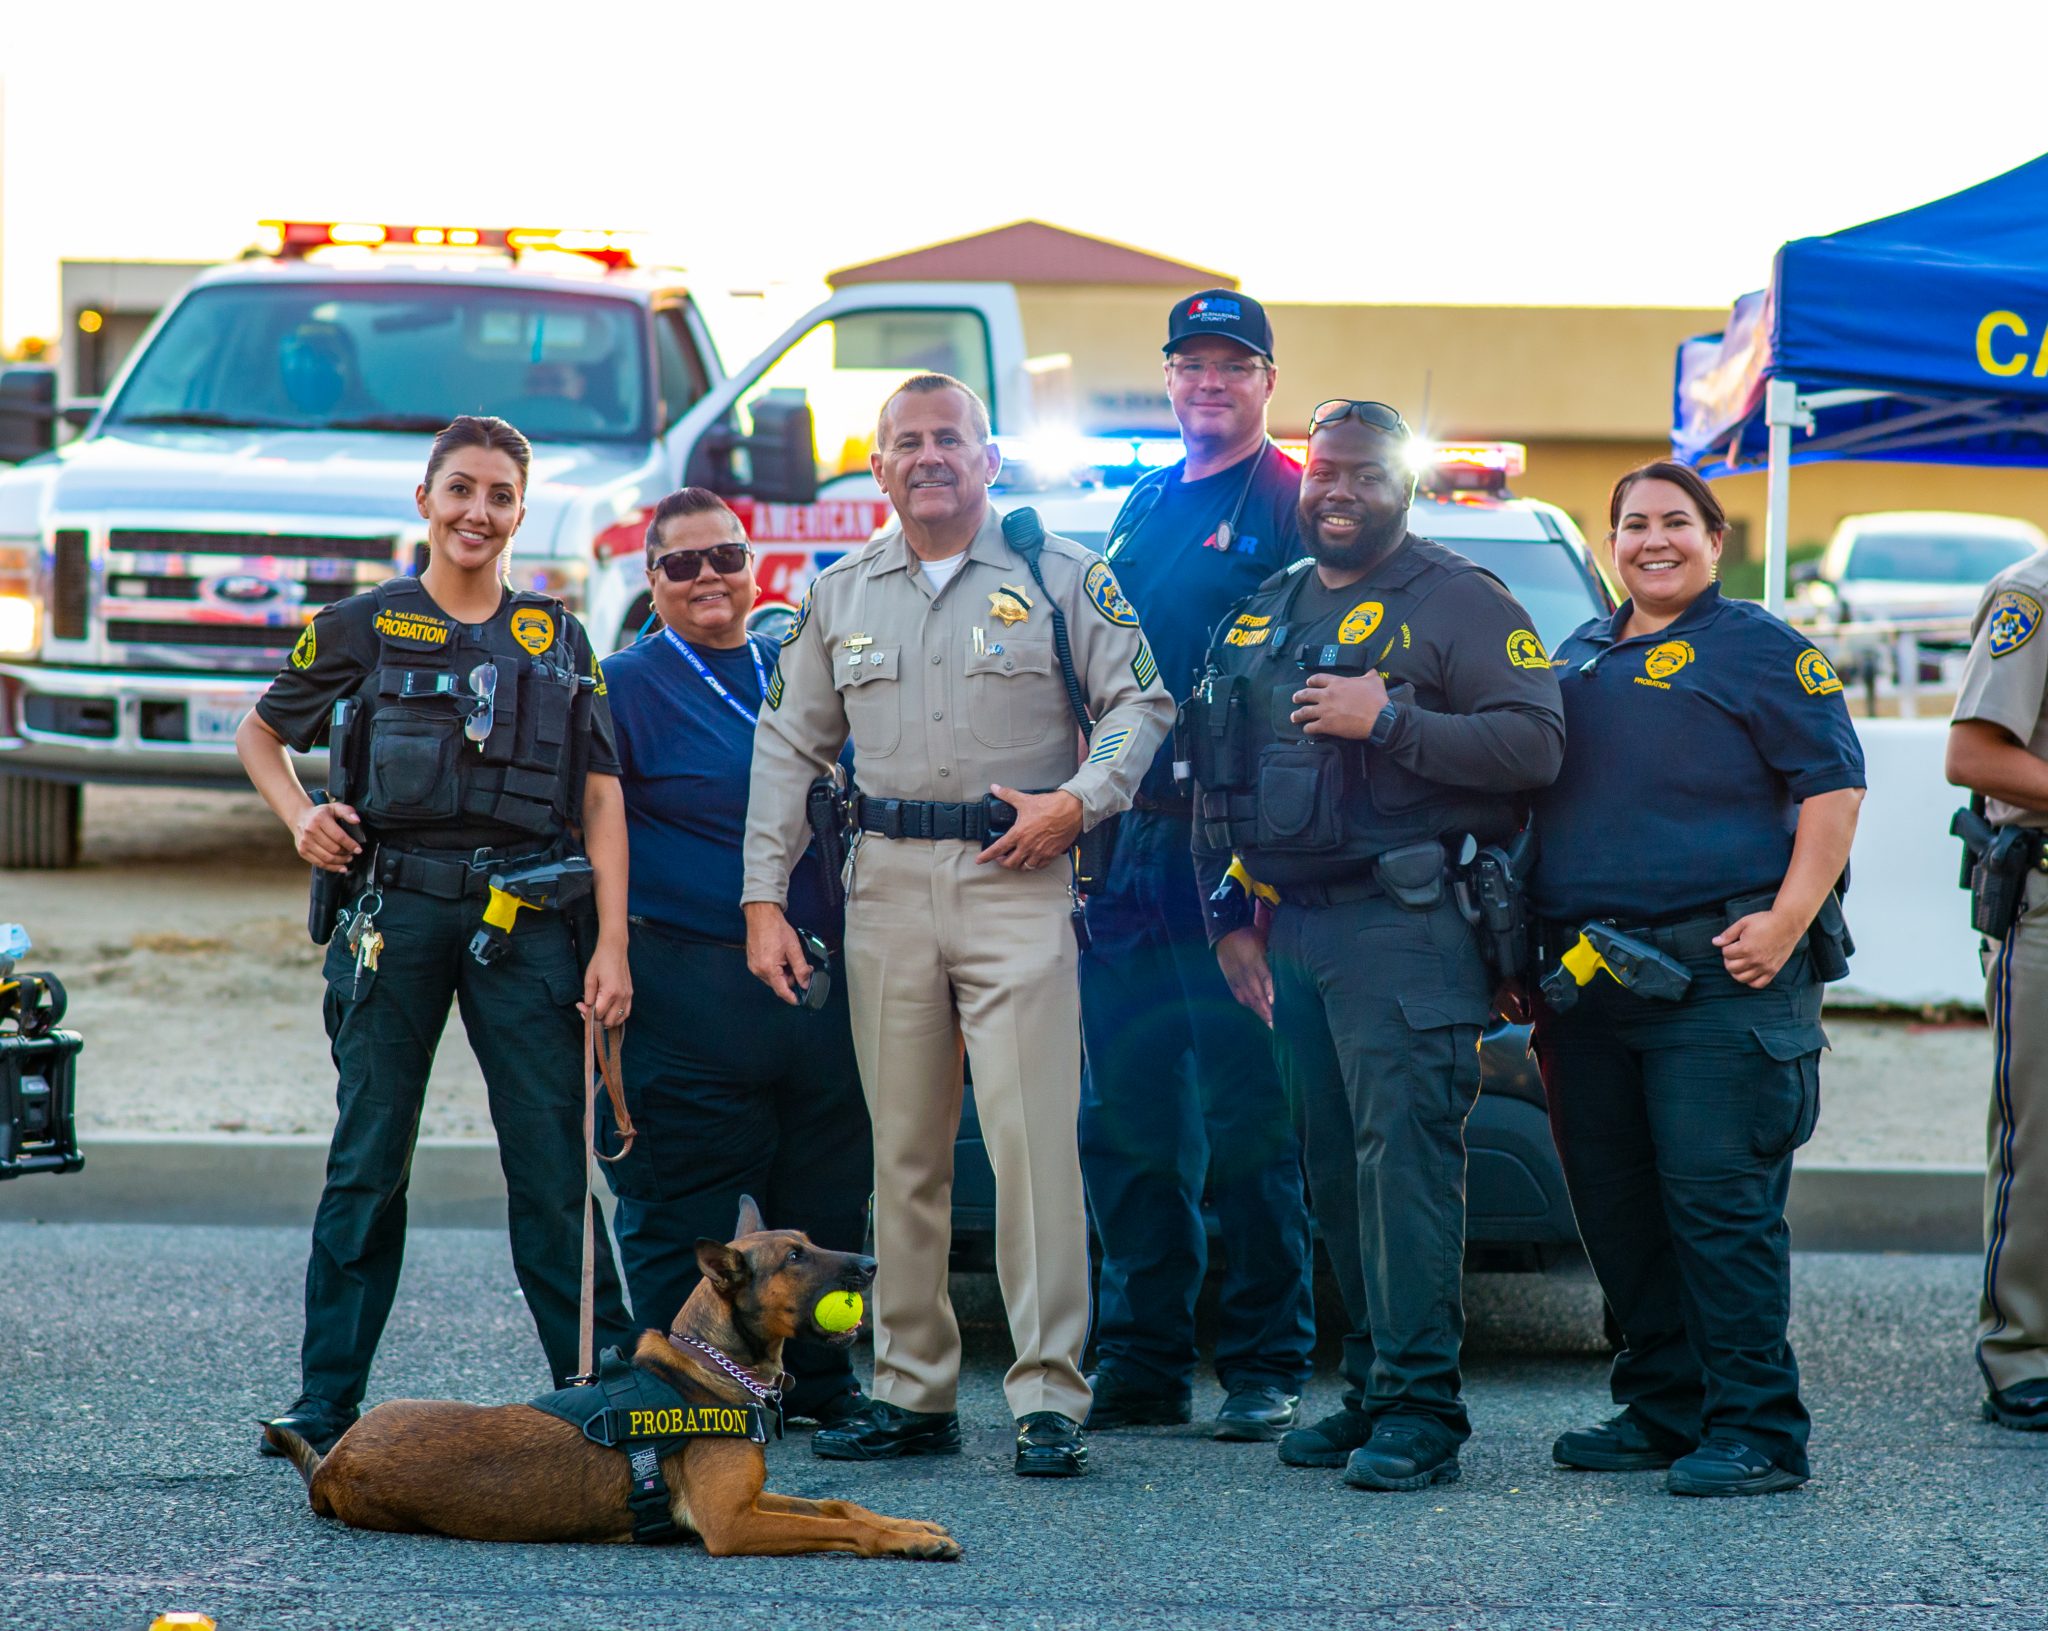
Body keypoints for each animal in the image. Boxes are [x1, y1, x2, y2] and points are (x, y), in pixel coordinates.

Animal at [264, 1204, 958, 1557]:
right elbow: (844, 1525)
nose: (871, 1262)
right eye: (794, 1257)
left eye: (808, 1242)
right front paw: (899, 1542)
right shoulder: (731, 1524)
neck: (714, 1365)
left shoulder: (751, 1502)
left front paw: (913, 1530)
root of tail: (328, 1466)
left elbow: (840, 1505)